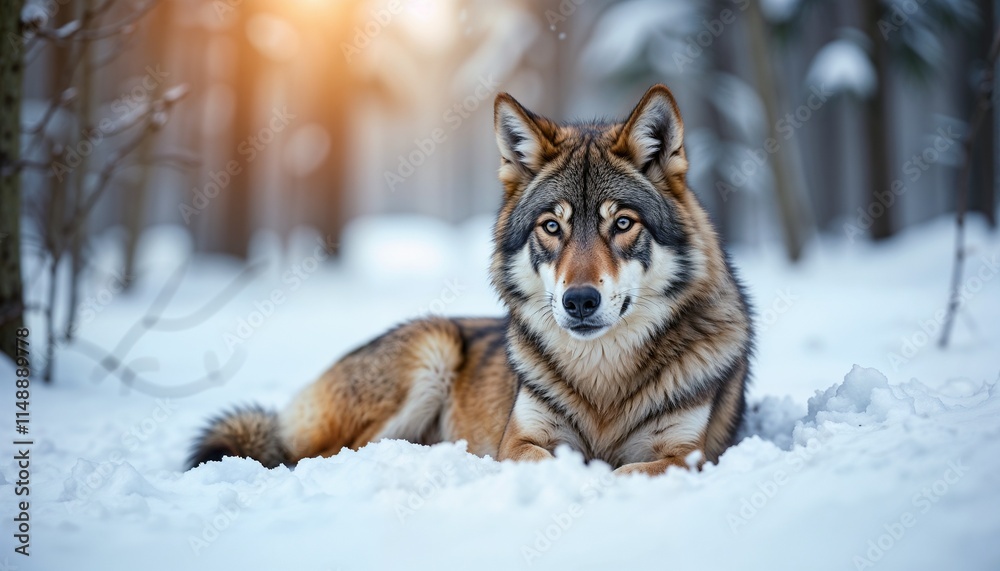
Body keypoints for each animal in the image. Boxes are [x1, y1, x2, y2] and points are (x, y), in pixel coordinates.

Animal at [189, 84, 753, 476]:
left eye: (622, 224)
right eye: (552, 227)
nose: (579, 301)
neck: (602, 381)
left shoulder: (687, 454)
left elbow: (630, 469)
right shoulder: (520, 442)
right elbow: (565, 462)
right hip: (430, 350)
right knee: (308, 456)